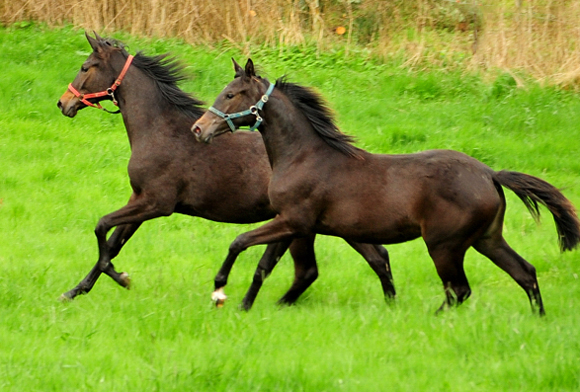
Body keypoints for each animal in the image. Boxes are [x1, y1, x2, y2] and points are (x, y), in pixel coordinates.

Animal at [56, 33, 396, 310]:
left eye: (86, 67)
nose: (63, 103)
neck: (158, 128)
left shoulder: (155, 203)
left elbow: (102, 228)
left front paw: (121, 278)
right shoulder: (139, 199)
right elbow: (114, 243)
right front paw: (74, 291)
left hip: (301, 224)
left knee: (318, 268)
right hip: (326, 223)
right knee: (372, 256)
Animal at [193, 58, 580, 316]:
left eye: (231, 94)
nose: (199, 129)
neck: (303, 156)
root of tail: (489, 173)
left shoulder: (293, 221)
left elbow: (239, 242)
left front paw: (219, 291)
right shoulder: (291, 223)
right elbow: (264, 265)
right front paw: (245, 306)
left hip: (444, 245)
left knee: (460, 290)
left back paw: (433, 319)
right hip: (487, 239)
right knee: (524, 273)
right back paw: (538, 318)